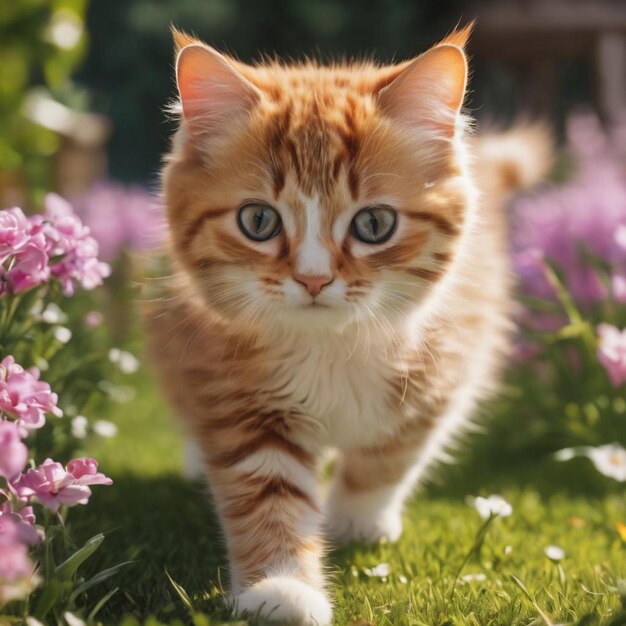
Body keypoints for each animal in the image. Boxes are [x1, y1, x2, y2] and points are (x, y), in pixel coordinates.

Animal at [146, 25, 544, 624]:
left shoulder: (448, 361)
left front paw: (356, 520)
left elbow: (390, 454)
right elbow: (264, 490)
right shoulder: (232, 383)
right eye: (258, 220)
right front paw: (282, 586)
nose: (313, 279)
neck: (329, 346)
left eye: (374, 224)